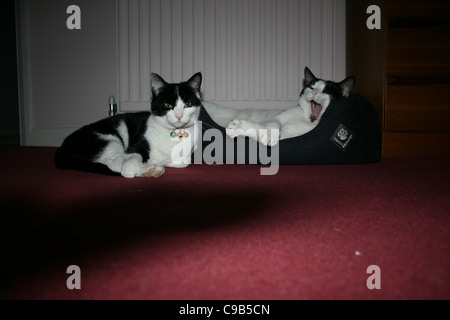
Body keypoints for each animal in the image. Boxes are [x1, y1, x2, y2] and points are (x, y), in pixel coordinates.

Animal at [55, 72, 203, 179]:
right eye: (167, 105)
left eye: (188, 104)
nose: (179, 116)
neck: (173, 134)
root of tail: (62, 147)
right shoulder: (135, 147)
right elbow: (127, 168)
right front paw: (147, 167)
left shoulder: (184, 158)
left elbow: (181, 163)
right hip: (109, 140)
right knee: (115, 164)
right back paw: (150, 170)